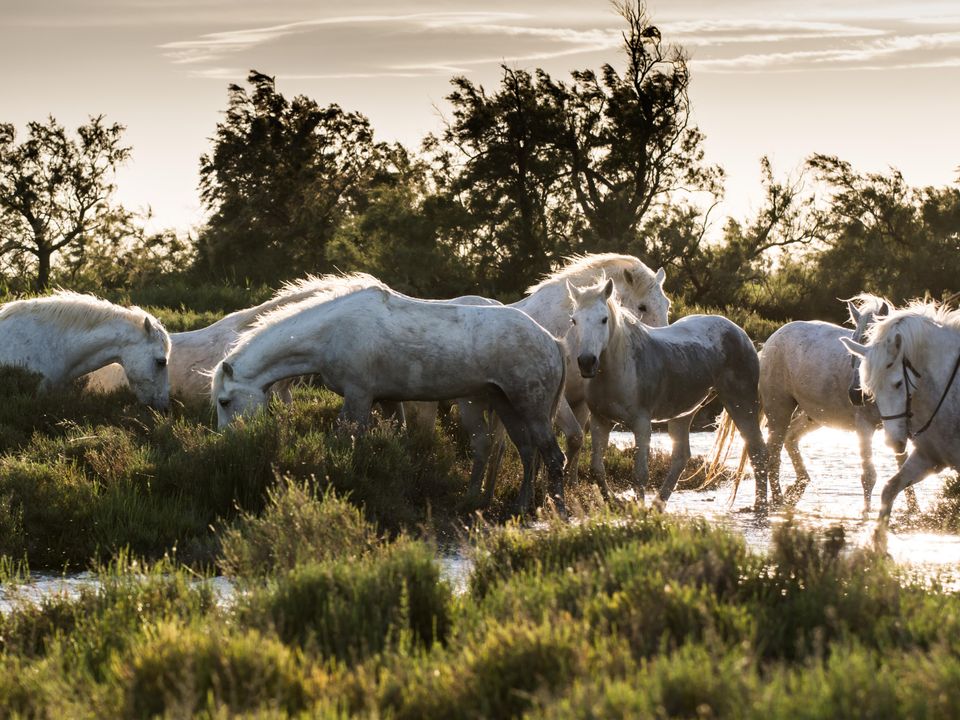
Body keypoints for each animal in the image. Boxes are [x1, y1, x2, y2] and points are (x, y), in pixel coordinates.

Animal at [462, 253, 672, 506]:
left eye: (667, 305)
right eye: (642, 307)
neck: (569, 331)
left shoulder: (581, 402)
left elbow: (576, 442)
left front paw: (568, 487)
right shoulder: (558, 401)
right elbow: (571, 437)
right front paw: (546, 492)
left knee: (497, 445)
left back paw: (489, 492)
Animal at [756, 296, 916, 510]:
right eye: (854, 348)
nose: (857, 395)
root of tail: (773, 338)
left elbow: (905, 470)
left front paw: (916, 511)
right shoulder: (864, 426)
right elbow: (868, 476)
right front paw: (866, 514)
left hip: (814, 416)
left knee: (791, 438)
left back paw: (797, 487)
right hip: (779, 412)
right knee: (773, 455)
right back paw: (778, 501)